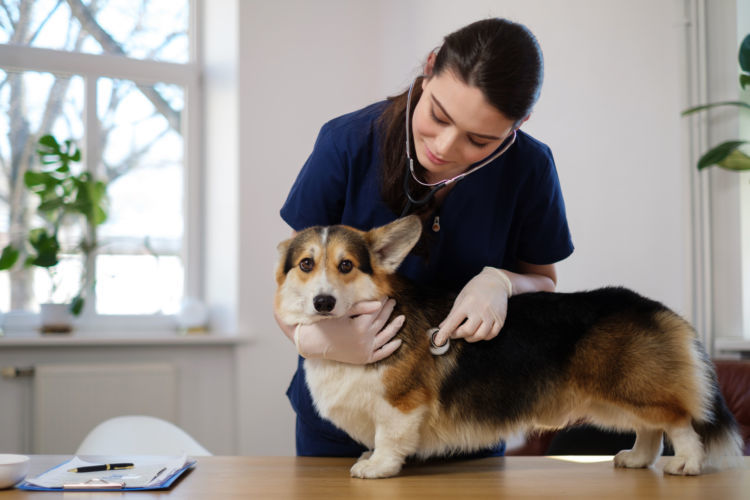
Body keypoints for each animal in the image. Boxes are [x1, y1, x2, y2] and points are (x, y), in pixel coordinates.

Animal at [274, 216, 744, 480]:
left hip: (633, 388)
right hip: (615, 397)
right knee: (650, 428)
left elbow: (390, 438)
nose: (323, 302)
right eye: (306, 264)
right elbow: (376, 437)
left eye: (347, 265)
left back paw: (687, 464)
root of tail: (657, 308)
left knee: (678, 421)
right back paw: (636, 459)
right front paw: (369, 455)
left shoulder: (402, 404)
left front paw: (376, 467)